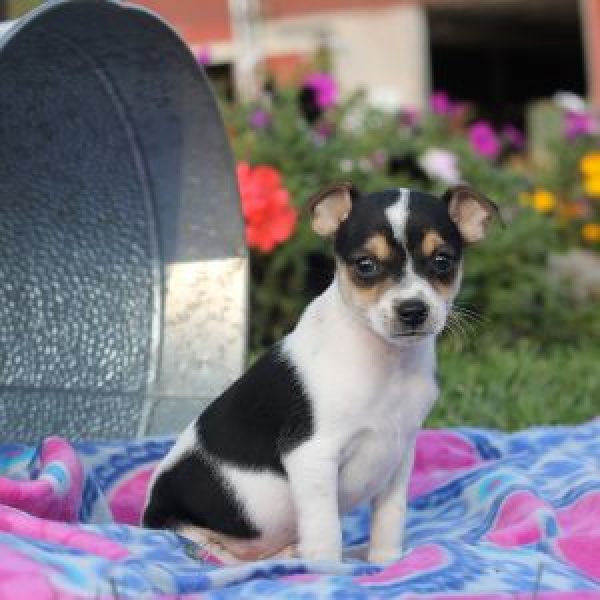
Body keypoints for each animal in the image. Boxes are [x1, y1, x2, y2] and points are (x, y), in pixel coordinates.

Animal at [143, 183, 500, 564]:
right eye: (365, 265)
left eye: (442, 261)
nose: (412, 310)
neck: (386, 361)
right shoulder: (311, 455)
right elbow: (326, 531)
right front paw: (328, 570)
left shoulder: (399, 455)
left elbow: (390, 519)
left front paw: (385, 563)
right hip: (190, 532)